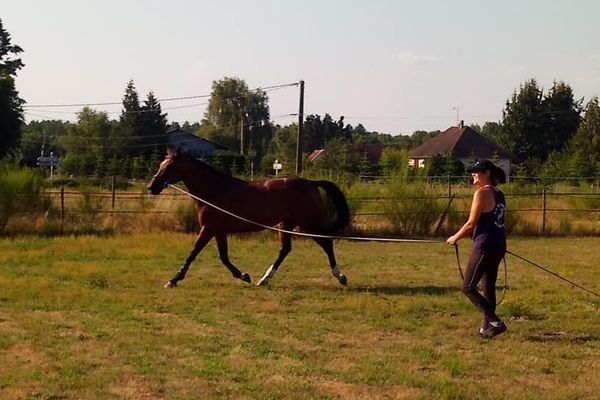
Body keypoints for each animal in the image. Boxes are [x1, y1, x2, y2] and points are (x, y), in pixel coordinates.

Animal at [147, 148, 350, 290]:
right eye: (161, 165)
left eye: (169, 166)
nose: (151, 187)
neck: (214, 190)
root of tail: (310, 183)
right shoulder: (219, 231)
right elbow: (223, 257)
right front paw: (244, 276)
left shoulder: (208, 229)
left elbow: (192, 254)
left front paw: (173, 280)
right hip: (286, 224)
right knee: (285, 249)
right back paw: (264, 279)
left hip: (308, 223)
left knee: (327, 243)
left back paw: (341, 277)